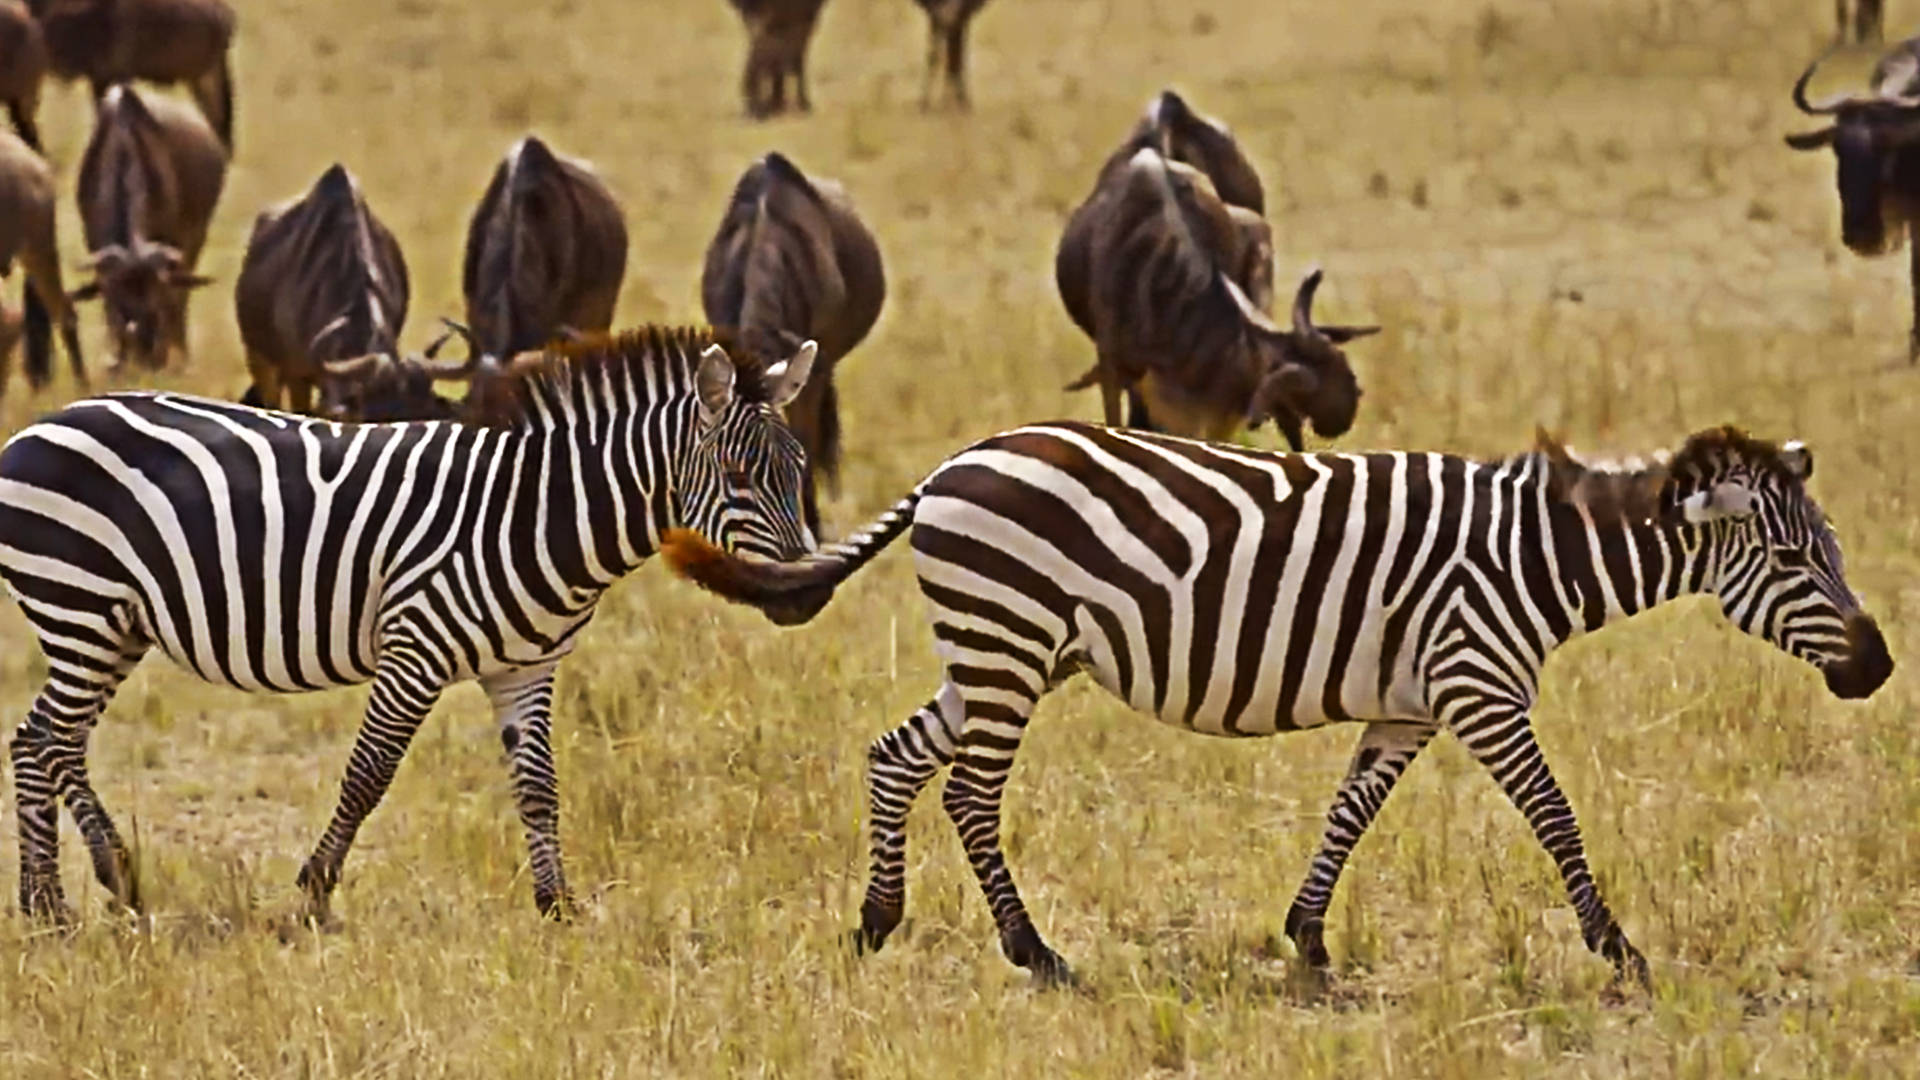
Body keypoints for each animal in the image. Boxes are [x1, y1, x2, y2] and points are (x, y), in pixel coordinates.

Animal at [0, 322, 817, 922]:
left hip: (114, 625)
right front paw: (313, 896)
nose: (806, 595)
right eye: (737, 478)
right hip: (80, 606)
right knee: (49, 738)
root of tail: (39, 426)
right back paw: (96, 882)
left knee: (40, 739)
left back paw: (63, 901)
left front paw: (557, 905)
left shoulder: (526, 669)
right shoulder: (414, 650)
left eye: (802, 471)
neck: (537, 514)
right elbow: (368, 774)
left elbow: (539, 786)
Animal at [660, 418, 1889, 983]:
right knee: (966, 791)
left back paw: (877, 921)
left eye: (1830, 548)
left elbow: (1350, 812)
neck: (1536, 558)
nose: (1878, 669)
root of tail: (952, 464)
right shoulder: (1480, 686)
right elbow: (1554, 814)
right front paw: (1615, 945)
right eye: (1793, 559)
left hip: (1004, 649)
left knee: (898, 754)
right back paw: (1034, 952)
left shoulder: (1411, 705)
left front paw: (1305, 936)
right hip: (1006, 643)